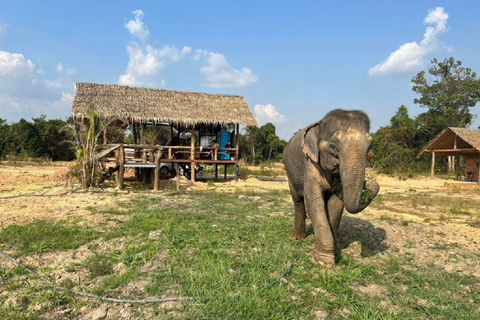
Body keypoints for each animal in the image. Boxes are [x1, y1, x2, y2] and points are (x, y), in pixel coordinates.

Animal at [284, 109, 380, 268]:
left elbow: (336, 204)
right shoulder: (309, 162)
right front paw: (323, 261)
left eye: (370, 146)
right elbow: (313, 202)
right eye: (333, 146)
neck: (320, 127)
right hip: (289, 173)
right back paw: (297, 238)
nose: (370, 182)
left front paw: (336, 250)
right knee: (298, 201)